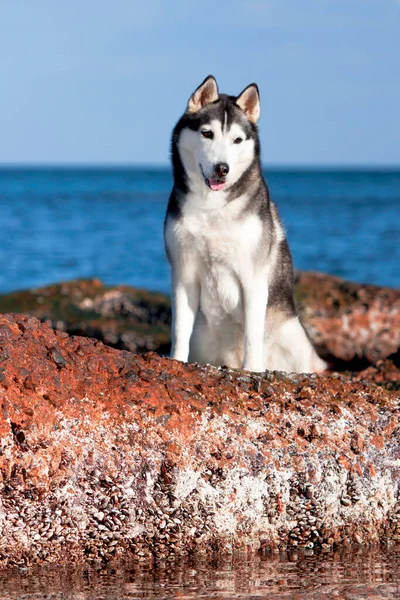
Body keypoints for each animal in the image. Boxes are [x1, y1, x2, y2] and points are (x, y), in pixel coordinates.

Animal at [163, 77, 324, 372]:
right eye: (207, 134)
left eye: (237, 139)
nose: (222, 168)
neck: (212, 207)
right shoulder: (183, 271)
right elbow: (179, 329)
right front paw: (176, 362)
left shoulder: (253, 276)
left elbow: (252, 332)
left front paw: (252, 370)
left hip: (292, 335)